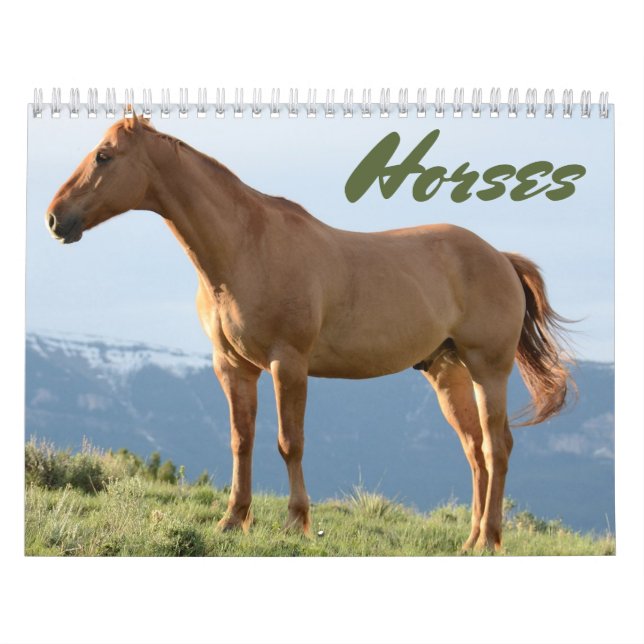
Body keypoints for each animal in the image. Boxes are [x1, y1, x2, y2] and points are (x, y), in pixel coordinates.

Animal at [46, 114, 573, 551]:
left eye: (104, 155)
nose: (55, 218)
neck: (246, 248)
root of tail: (499, 256)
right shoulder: (233, 367)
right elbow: (241, 440)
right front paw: (233, 520)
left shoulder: (288, 363)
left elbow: (289, 442)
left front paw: (295, 522)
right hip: (448, 373)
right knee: (475, 451)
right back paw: (470, 540)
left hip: (489, 370)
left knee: (496, 447)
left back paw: (490, 539)